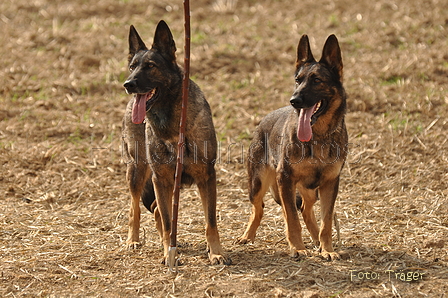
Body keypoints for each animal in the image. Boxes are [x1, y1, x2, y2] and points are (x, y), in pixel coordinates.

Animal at [122, 22, 231, 266]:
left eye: (150, 66)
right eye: (132, 67)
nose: (128, 84)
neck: (170, 122)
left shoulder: (206, 177)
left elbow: (210, 221)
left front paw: (216, 253)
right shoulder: (159, 179)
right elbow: (167, 221)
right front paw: (168, 254)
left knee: (155, 211)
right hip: (138, 171)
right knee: (136, 208)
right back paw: (133, 240)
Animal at [236, 33, 348, 260]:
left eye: (317, 80)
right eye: (298, 80)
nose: (294, 100)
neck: (318, 137)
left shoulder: (330, 183)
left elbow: (326, 221)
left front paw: (327, 249)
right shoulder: (285, 179)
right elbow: (292, 219)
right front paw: (297, 247)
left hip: (310, 190)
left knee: (305, 209)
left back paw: (316, 241)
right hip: (258, 184)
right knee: (259, 208)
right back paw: (247, 236)